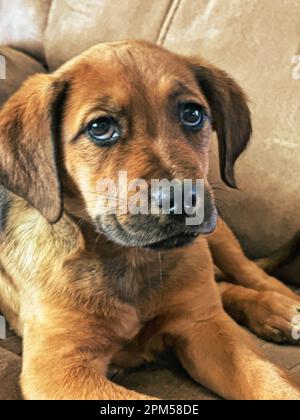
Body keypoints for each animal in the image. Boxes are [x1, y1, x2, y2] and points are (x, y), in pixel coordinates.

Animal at [0, 40, 298, 400]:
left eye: (192, 114)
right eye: (100, 128)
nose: (183, 199)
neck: (131, 259)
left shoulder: (203, 327)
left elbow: (272, 381)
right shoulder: (58, 370)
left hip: (219, 239)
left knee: (251, 275)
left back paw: (283, 309)